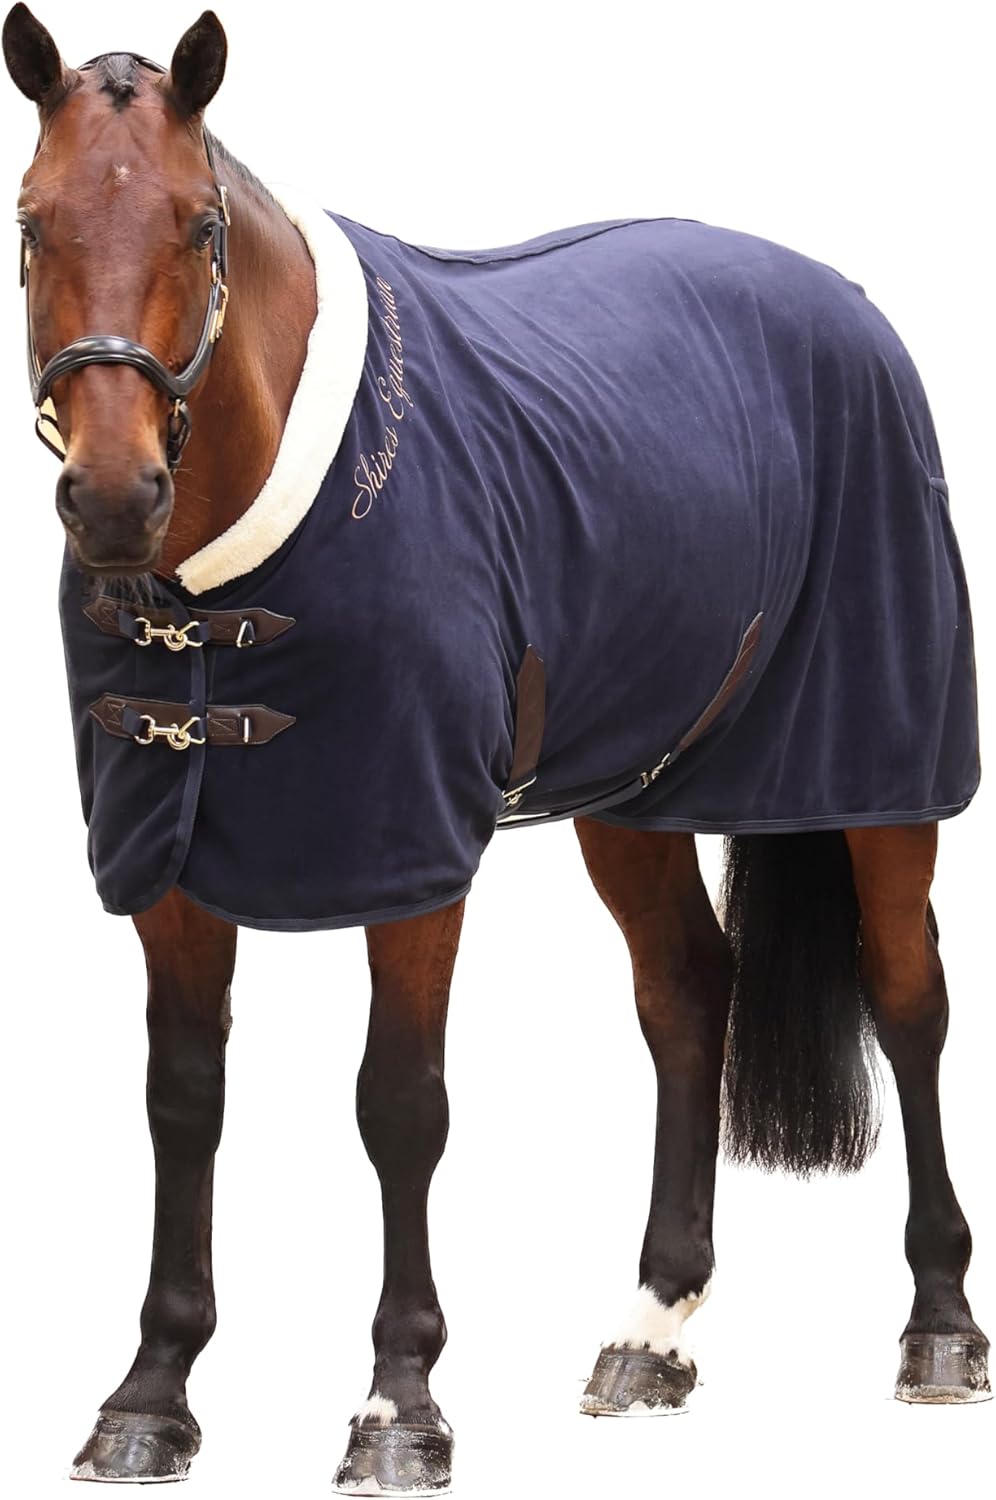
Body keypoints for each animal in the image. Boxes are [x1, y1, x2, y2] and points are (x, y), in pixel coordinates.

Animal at [4, 4, 990, 1492]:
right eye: (32, 219)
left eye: (197, 224)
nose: (115, 499)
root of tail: (845, 307)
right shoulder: (166, 866)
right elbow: (184, 1099)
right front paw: (151, 1394)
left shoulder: (413, 855)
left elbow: (400, 1105)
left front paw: (398, 1403)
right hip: (635, 790)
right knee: (687, 991)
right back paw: (652, 1330)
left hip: (881, 769)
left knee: (907, 996)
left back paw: (938, 1328)